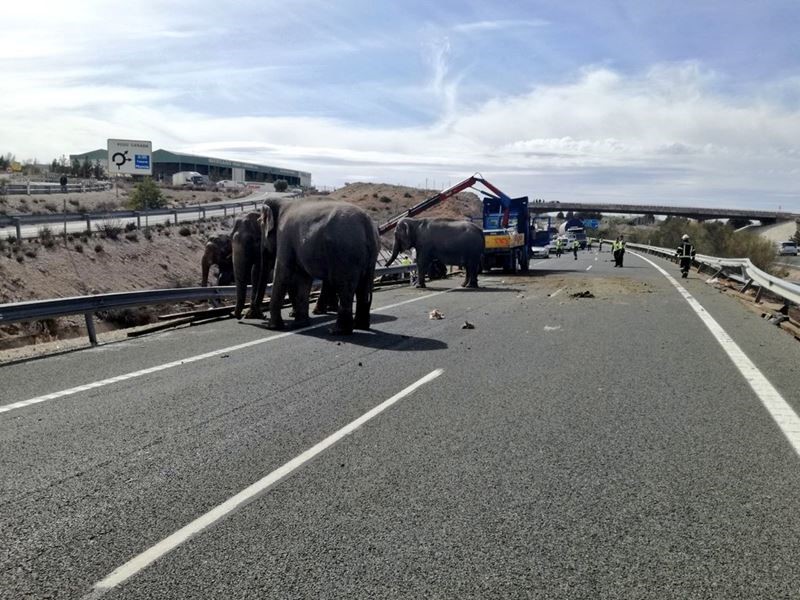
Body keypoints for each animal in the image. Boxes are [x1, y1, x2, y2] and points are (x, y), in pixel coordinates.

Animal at [256, 199, 382, 336]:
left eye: (260, 225)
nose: (261, 317)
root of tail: (367, 224)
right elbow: (303, 278)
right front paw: (299, 324)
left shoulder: (284, 236)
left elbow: (282, 272)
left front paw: (273, 327)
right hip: (370, 255)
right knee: (364, 287)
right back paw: (360, 326)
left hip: (346, 253)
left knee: (345, 287)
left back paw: (337, 331)